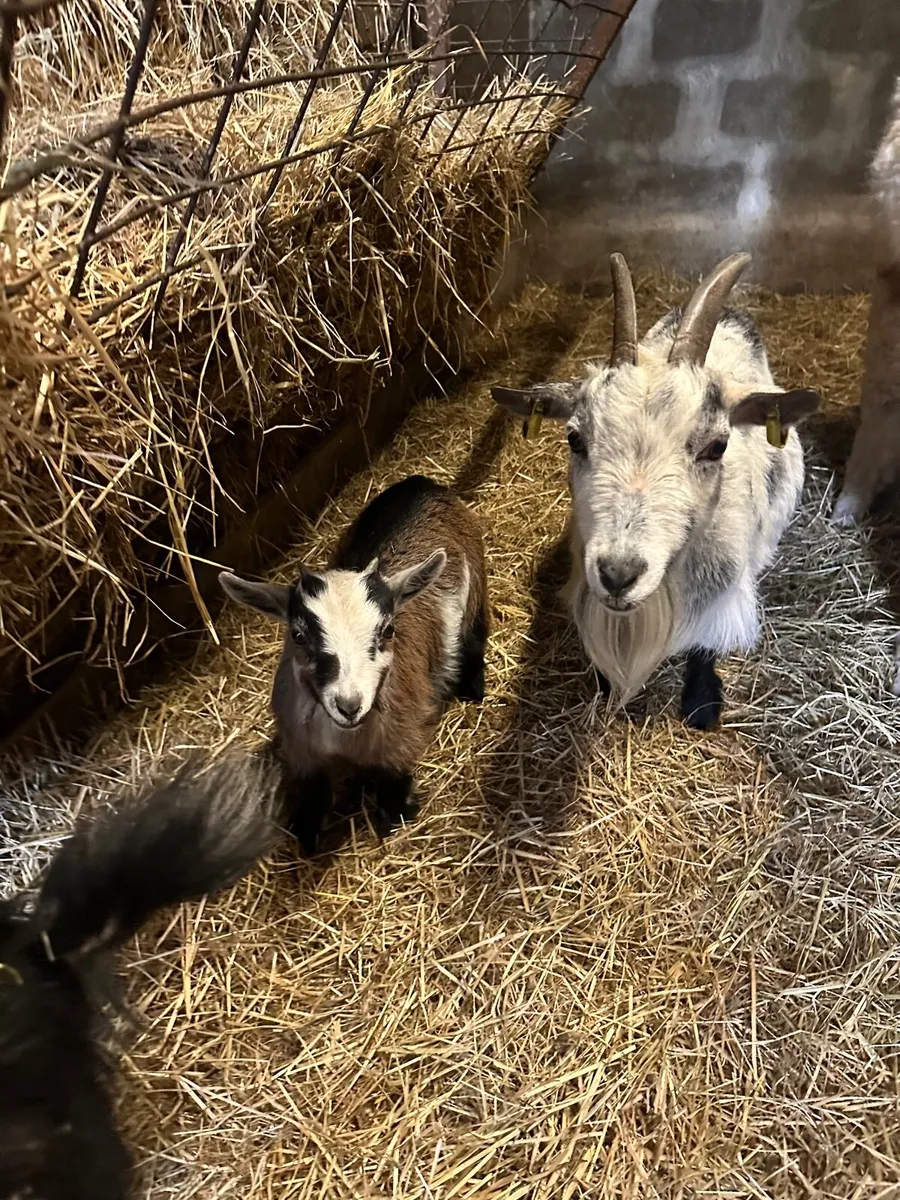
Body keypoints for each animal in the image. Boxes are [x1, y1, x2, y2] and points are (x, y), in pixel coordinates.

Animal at [220, 474, 489, 853]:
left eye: (388, 630)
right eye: (298, 635)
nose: (349, 704)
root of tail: (422, 483)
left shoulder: (400, 742)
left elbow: (393, 793)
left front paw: (394, 816)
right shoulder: (302, 752)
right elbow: (312, 796)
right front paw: (306, 831)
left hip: (476, 588)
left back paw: (473, 685)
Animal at [491, 252, 821, 727]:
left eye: (717, 446)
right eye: (574, 438)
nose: (618, 574)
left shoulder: (723, 596)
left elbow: (704, 646)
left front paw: (702, 703)